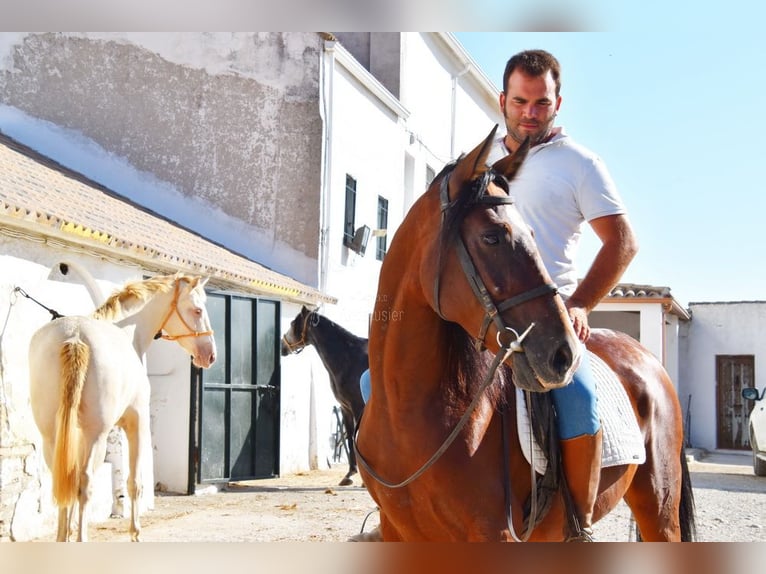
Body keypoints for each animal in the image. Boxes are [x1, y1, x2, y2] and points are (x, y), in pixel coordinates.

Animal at [28, 272, 218, 544]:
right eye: (198, 309)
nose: (209, 355)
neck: (128, 333)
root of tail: (74, 336)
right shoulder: (137, 423)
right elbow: (134, 482)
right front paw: (135, 532)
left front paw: (69, 531)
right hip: (95, 435)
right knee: (85, 482)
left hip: (51, 436)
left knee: (64, 478)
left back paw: (63, 537)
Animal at [282, 306, 368, 486]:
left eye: (293, 323)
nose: (282, 346)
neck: (349, 358)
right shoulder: (345, 408)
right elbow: (350, 439)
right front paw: (350, 474)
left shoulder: (358, 407)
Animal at [356, 128, 700, 544]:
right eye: (492, 237)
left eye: (531, 234)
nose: (563, 354)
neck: (408, 414)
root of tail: (646, 357)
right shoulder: (397, 531)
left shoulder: (495, 535)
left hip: (658, 508)